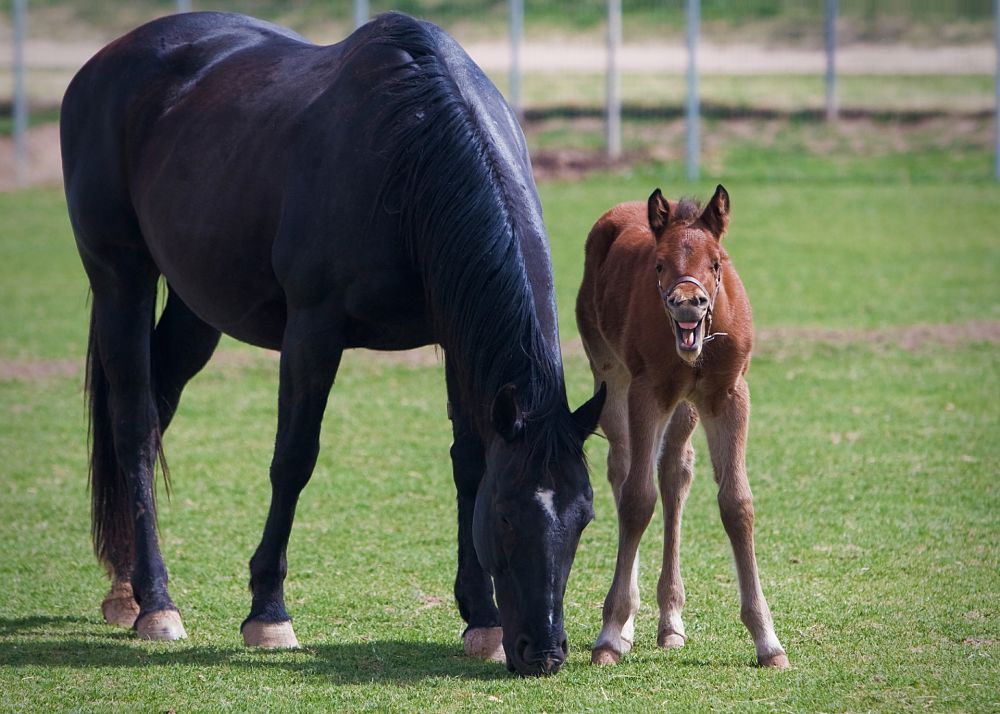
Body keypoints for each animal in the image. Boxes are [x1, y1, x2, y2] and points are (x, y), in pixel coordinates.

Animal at [64, 13, 608, 676]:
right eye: (506, 514)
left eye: (583, 517)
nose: (545, 652)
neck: (409, 153)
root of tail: (104, 61)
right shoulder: (312, 333)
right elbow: (293, 459)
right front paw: (268, 613)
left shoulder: (457, 337)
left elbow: (469, 461)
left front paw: (481, 618)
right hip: (120, 277)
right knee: (135, 426)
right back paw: (157, 603)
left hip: (197, 308)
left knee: (157, 406)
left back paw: (126, 589)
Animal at [580, 185, 788, 668]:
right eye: (659, 264)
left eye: (716, 262)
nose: (688, 304)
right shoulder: (647, 392)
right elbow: (637, 500)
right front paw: (610, 632)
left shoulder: (728, 395)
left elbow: (737, 504)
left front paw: (767, 640)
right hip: (611, 375)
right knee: (623, 469)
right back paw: (628, 625)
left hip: (686, 409)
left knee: (675, 471)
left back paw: (670, 621)